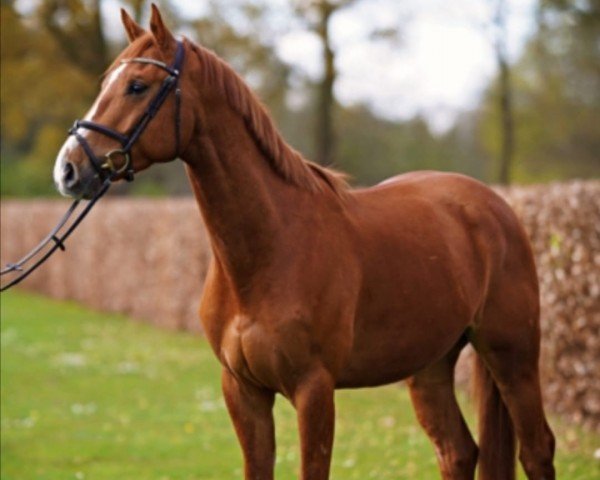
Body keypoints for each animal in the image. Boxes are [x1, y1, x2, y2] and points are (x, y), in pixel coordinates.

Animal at [52, 6, 556, 480]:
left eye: (138, 86)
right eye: (106, 82)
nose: (68, 170)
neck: (270, 249)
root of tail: (494, 205)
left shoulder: (314, 389)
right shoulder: (243, 391)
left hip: (512, 356)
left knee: (537, 449)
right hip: (430, 364)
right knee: (457, 451)